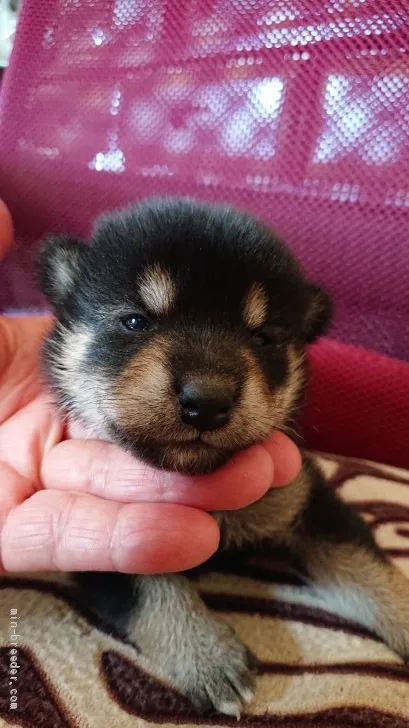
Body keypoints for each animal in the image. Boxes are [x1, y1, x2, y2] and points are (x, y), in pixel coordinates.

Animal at [38, 198, 408, 716]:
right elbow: (152, 590)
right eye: (135, 321)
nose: (206, 400)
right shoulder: (96, 536)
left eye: (264, 338)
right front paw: (206, 656)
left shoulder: (303, 496)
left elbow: (366, 566)